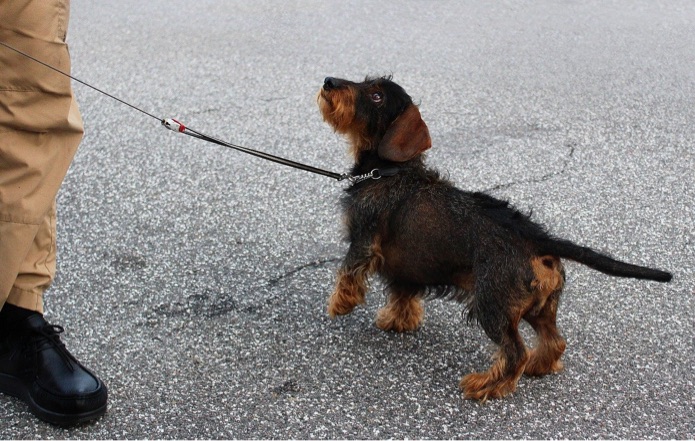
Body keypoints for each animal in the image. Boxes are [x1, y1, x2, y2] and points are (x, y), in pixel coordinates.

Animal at [316, 75, 676, 398]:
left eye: (376, 95)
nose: (329, 81)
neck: (390, 170)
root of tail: (535, 237)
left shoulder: (364, 238)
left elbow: (348, 270)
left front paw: (340, 304)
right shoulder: (407, 268)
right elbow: (402, 294)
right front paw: (398, 320)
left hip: (491, 306)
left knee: (515, 353)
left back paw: (487, 386)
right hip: (539, 308)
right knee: (554, 341)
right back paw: (538, 366)